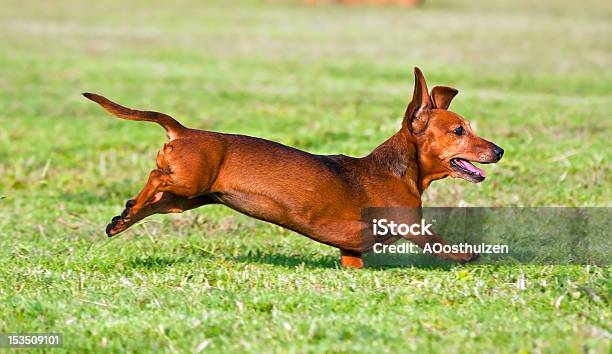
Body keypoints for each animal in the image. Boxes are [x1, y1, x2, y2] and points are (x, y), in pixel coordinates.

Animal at [85, 68, 502, 268]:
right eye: (459, 131)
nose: (499, 151)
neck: (397, 169)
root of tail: (184, 131)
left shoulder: (351, 253)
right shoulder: (411, 227)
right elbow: (441, 243)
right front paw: (468, 255)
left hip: (183, 199)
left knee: (149, 201)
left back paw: (121, 219)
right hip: (187, 183)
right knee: (154, 177)